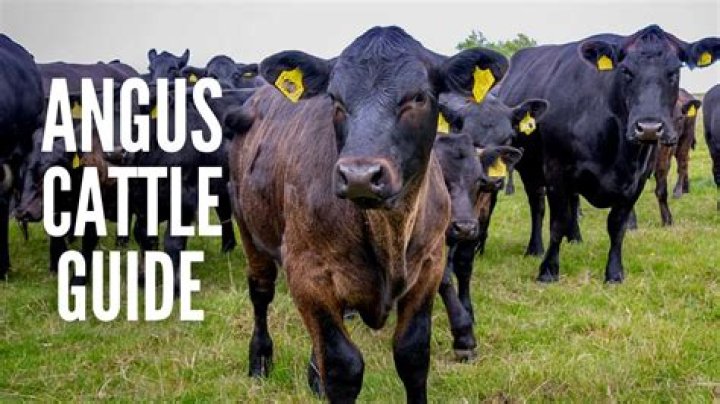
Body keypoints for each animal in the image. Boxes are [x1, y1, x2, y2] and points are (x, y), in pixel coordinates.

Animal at [224, 26, 508, 403]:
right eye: (334, 99)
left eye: (418, 97)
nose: (359, 175)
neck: (388, 230)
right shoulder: (308, 274)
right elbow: (343, 364)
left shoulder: (428, 268)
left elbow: (413, 355)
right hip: (249, 231)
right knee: (261, 292)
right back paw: (259, 359)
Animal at [497, 25, 720, 283]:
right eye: (625, 71)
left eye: (674, 71)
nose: (649, 127)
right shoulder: (555, 169)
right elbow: (557, 221)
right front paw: (548, 270)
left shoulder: (637, 179)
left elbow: (617, 225)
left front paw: (614, 273)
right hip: (529, 167)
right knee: (538, 205)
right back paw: (535, 248)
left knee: (572, 202)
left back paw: (576, 238)